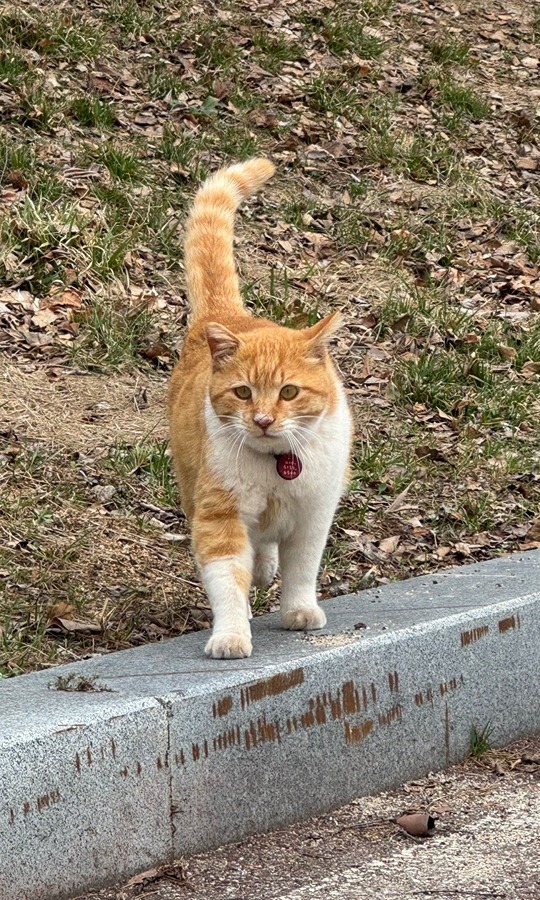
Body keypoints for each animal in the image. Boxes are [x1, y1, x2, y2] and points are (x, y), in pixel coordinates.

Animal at [170, 158, 354, 656]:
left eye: (289, 392)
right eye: (243, 393)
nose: (264, 420)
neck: (278, 466)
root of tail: (228, 316)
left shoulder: (313, 514)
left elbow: (302, 569)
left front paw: (299, 610)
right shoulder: (219, 517)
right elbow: (227, 580)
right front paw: (232, 633)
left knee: (271, 550)